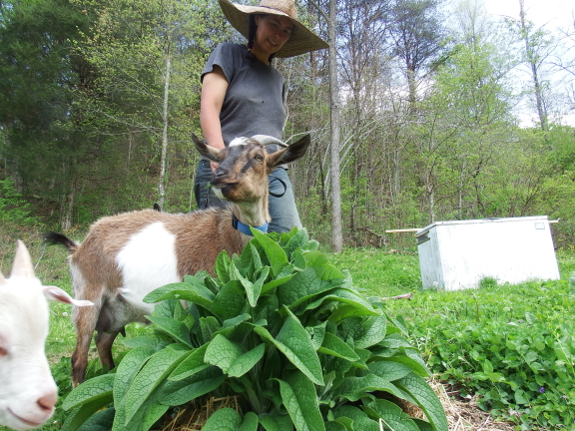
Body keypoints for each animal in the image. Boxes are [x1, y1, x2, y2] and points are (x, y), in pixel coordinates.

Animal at [46, 133, 310, 386]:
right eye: (220, 157)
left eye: (258, 157)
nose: (220, 177)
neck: (226, 235)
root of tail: (79, 244)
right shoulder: (194, 301)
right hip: (87, 298)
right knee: (78, 359)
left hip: (118, 309)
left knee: (103, 343)